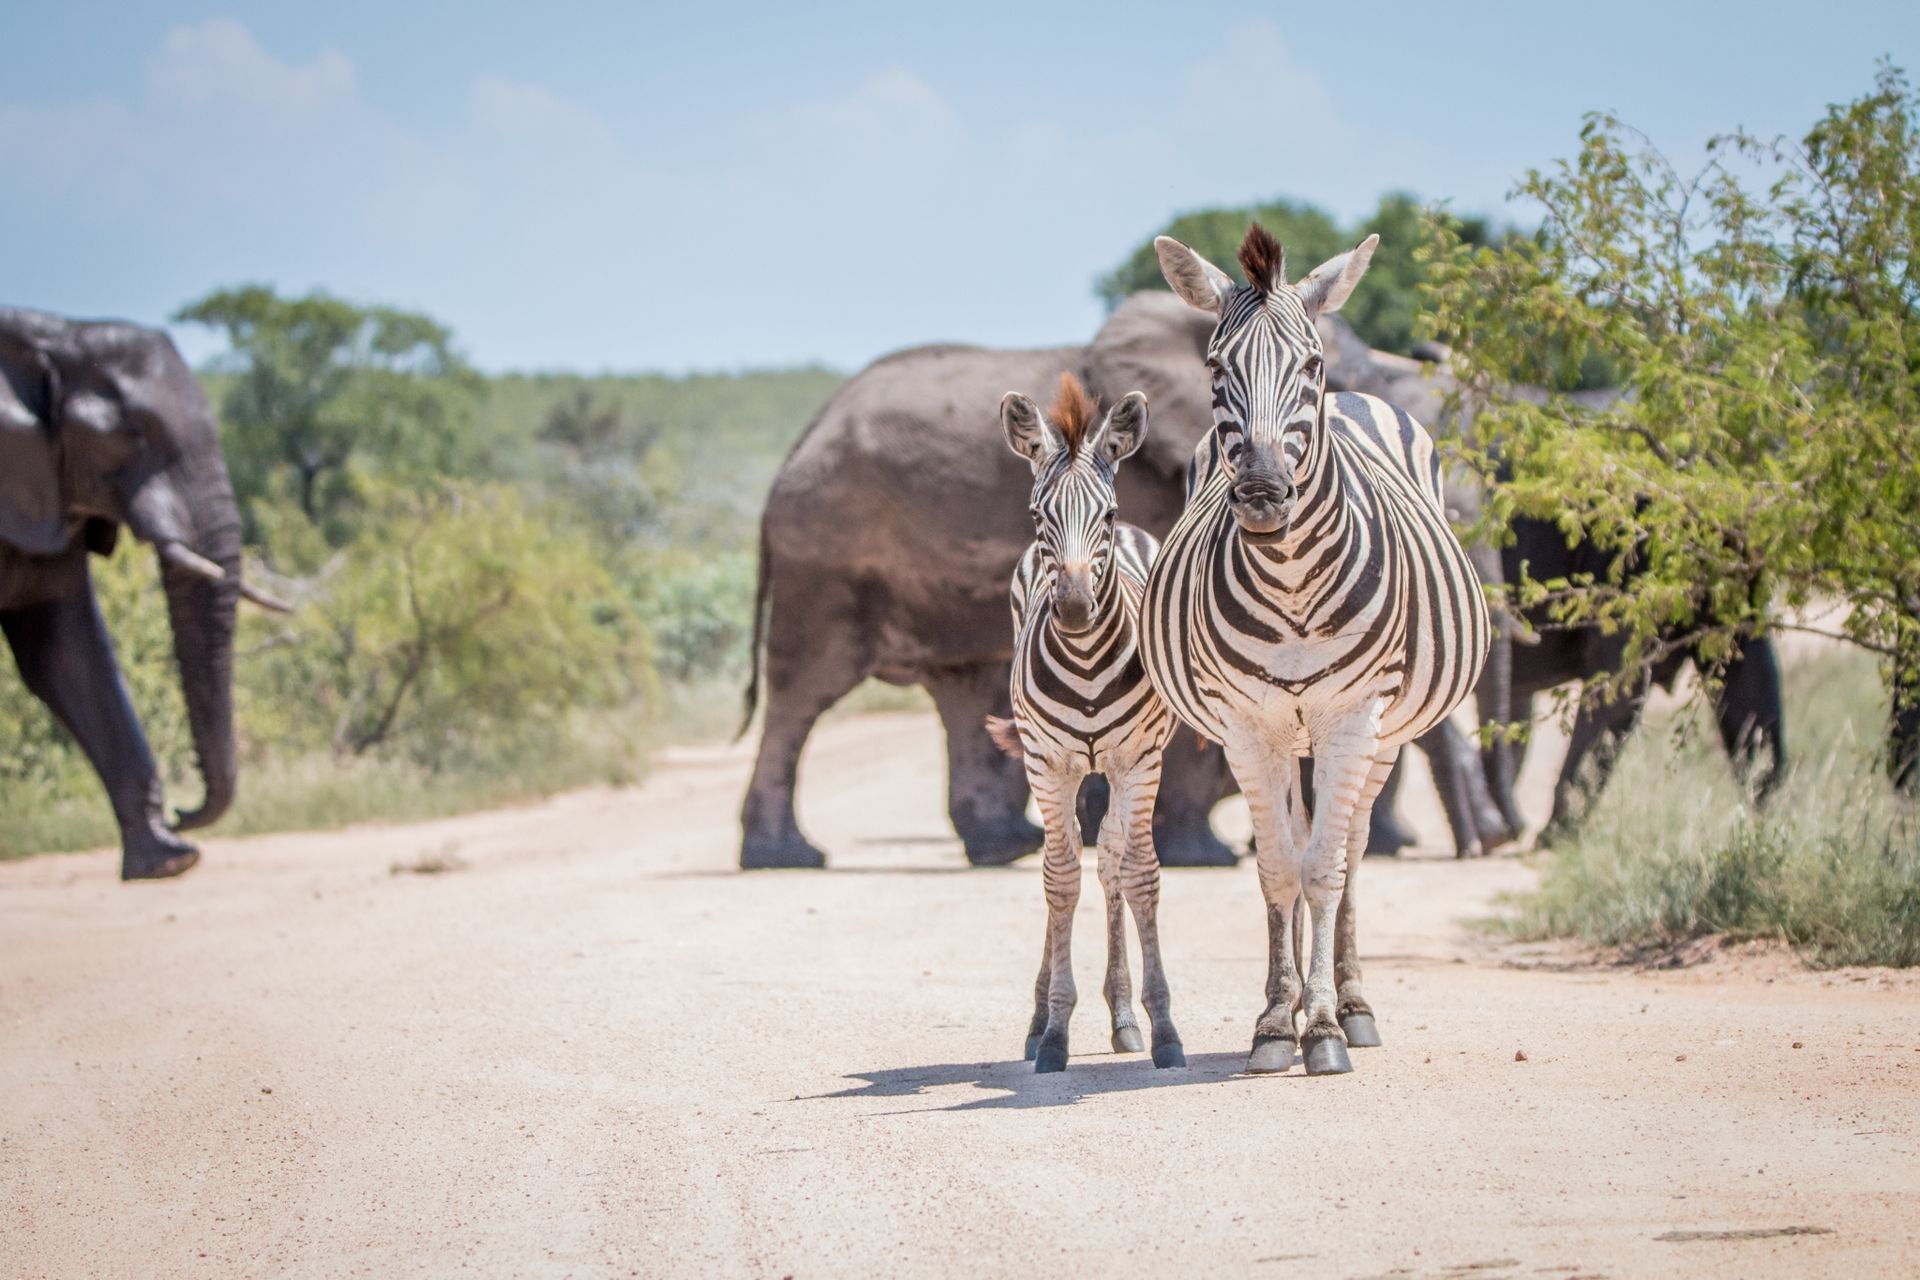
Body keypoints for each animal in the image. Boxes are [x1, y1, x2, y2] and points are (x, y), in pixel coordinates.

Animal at [984, 372, 1186, 1074]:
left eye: (1108, 514)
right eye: (1038, 516)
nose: (1073, 609)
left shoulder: (1141, 760)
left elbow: (1140, 876)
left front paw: (1162, 1026)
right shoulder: (1049, 765)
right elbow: (1059, 880)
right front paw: (1054, 1032)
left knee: (1112, 860)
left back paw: (1124, 1017)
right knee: (1064, 854)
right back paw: (1039, 1017)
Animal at [1143, 224, 1490, 1076]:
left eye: (1309, 365)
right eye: (1215, 368)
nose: (1266, 494)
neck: (1293, 582)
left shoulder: (1354, 715)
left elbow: (1327, 867)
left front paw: (1327, 1026)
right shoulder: (1247, 724)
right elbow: (1278, 867)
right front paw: (1277, 1019)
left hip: (1381, 733)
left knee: (1351, 848)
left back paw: (1354, 1005)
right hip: (1288, 734)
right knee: (1299, 845)